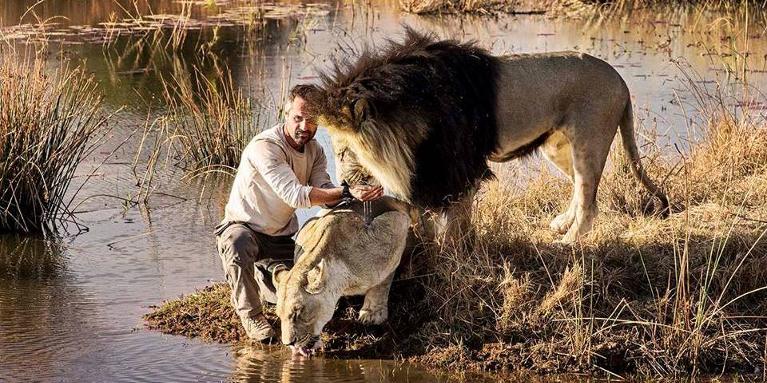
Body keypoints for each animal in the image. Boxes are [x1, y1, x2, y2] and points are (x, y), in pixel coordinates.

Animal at [272, 196, 412, 358]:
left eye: (298, 311)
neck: (343, 282)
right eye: (279, 314)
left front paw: (372, 315)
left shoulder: (397, 224)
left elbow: (383, 282)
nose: (288, 343)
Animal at [308, 27, 668, 243]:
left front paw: (452, 251)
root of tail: (621, 80)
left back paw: (567, 242)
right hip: (559, 148)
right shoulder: (427, 171)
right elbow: (421, 215)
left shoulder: (459, 168)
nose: (343, 185)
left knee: (589, 203)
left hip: (587, 145)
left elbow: (456, 220)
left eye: (343, 152)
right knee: (580, 192)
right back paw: (561, 224)